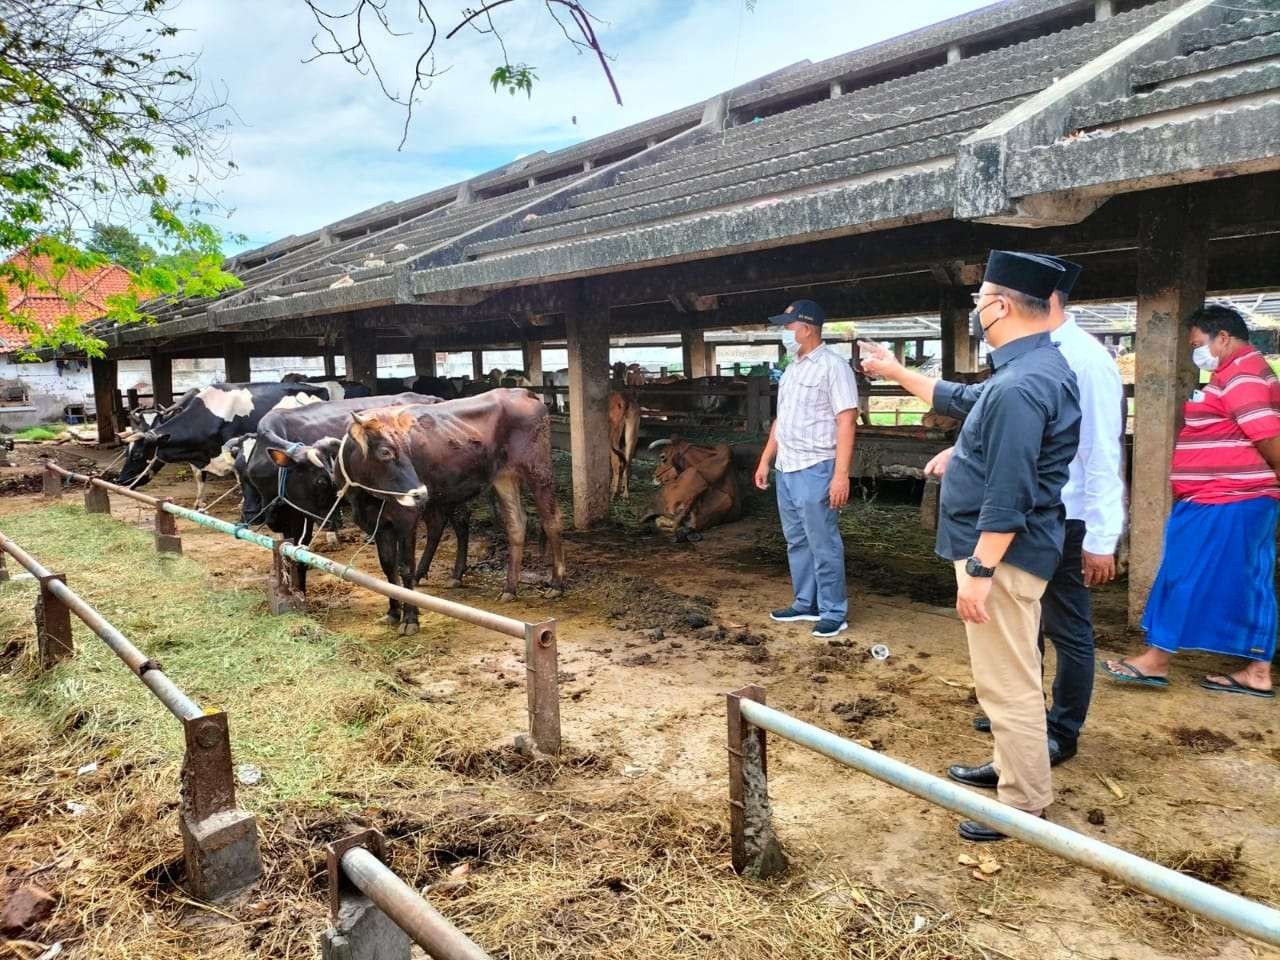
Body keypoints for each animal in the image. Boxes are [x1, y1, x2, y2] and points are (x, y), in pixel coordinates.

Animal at [115, 381, 327, 506]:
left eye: (137, 455)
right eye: (125, 452)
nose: (119, 480)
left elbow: (240, 478)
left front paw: (243, 503)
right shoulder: (197, 457)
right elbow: (199, 478)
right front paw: (199, 505)